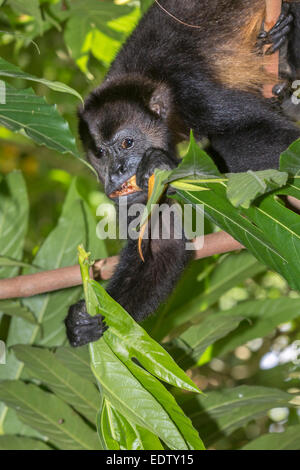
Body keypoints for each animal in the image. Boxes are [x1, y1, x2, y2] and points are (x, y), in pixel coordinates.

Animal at [65, 0, 300, 348]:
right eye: (101, 154)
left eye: (127, 143)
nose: (117, 173)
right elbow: (162, 243)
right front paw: (84, 319)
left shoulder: (195, 94)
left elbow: (278, 138)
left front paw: (167, 165)